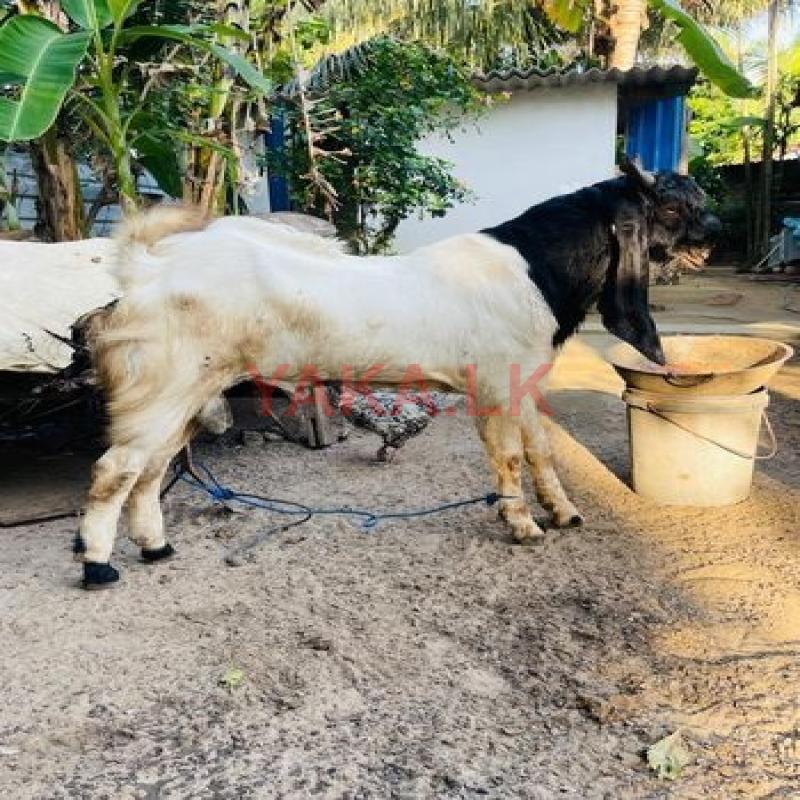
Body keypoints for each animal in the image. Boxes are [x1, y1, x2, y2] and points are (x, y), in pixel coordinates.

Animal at [75, 161, 719, 587]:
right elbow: (510, 456)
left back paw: (155, 547)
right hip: (163, 384)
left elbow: (541, 449)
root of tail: (145, 269)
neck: (536, 268)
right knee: (115, 469)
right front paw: (522, 525)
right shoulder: (493, 384)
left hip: (185, 391)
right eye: (669, 207)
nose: (712, 234)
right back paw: (99, 565)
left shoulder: (522, 381)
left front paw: (563, 513)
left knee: (151, 468)